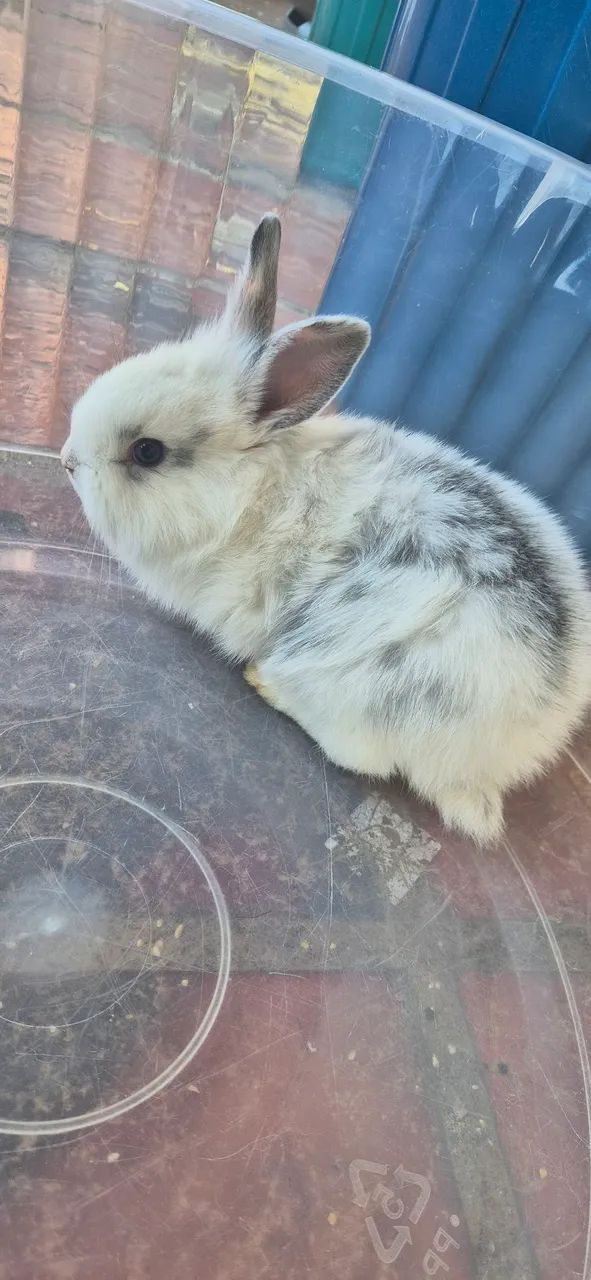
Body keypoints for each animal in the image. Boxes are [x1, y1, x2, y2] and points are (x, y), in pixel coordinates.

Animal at [62, 214, 591, 843]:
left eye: (147, 452)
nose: (67, 460)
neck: (252, 498)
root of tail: (506, 757)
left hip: (348, 687)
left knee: (360, 756)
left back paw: (264, 682)